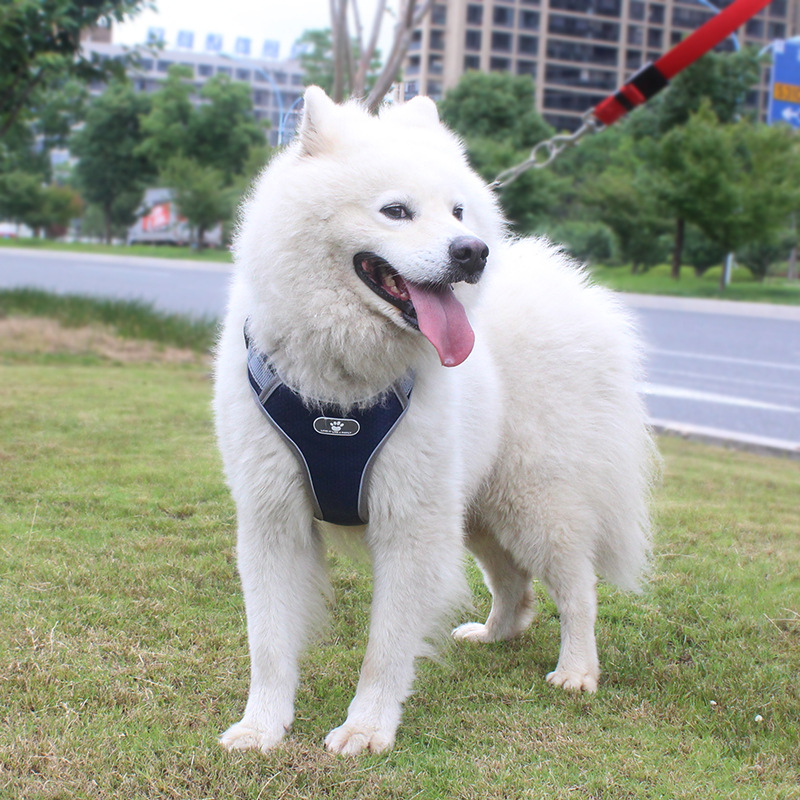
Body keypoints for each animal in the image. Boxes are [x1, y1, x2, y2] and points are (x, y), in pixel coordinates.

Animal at [212, 87, 656, 756]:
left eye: (457, 211)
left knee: (578, 587)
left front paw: (366, 729)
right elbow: (268, 645)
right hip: (479, 508)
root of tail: (571, 292)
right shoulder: (273, 520)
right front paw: (261, 727)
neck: (342, 391)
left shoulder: (409, 523)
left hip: (536, 504)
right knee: (515, 584)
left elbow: (385, 648)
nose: (473, 251)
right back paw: (495, 634)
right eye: (396, 211)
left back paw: (577, 671)